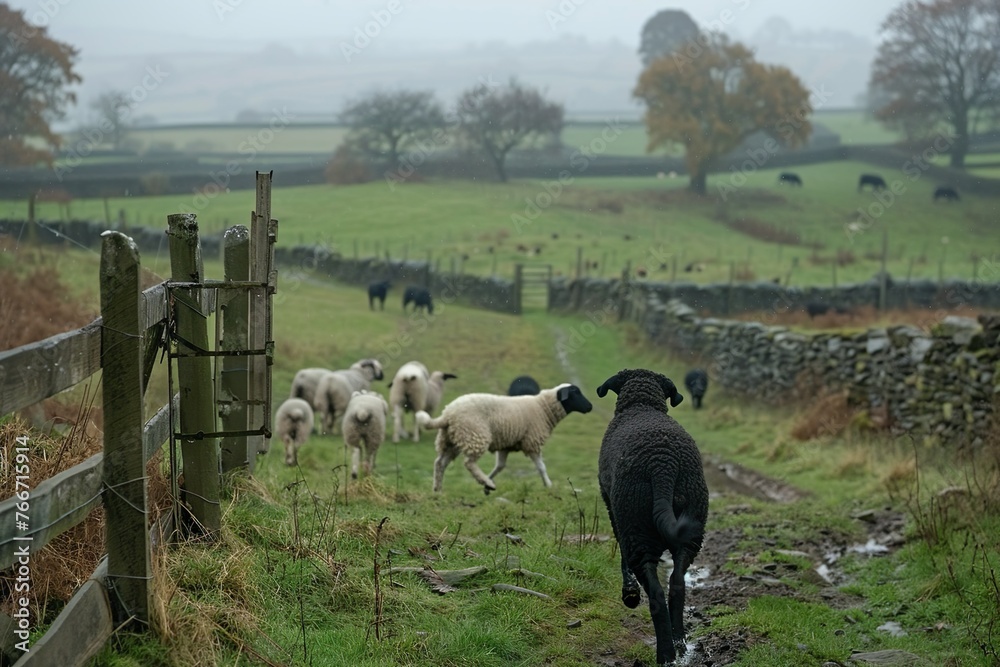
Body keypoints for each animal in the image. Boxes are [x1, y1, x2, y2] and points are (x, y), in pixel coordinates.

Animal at [416, 383, 593, 494]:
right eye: (575, 393)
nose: (590, 407)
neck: (543, 408)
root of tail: (447, 414)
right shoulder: (532, 442)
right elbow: (541, 467)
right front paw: (548, 485)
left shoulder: (506, 445)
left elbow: (500, 467)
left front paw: (488, 484)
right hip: (475, 435)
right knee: (469, 463)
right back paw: (485, 482)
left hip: (451, 440)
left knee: (440, 463)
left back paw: (438, 489)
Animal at [596, 368, 709, 666]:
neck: (641, 405)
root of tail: (663, 466)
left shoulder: (612, 507)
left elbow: (621, 555)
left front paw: (630, 594)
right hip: (690, 534)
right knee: (677, 586)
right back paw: (680, 644)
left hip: (636, 528)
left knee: (656, 592)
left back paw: (665, 653)